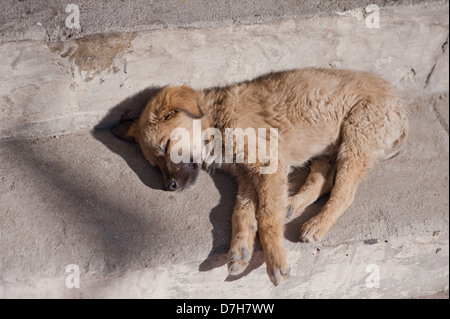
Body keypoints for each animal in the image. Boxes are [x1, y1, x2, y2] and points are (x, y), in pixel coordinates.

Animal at [112, 68, 408, 288]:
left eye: (166, 146)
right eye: (154, 164)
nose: (170, 188)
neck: (216, 122)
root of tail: (401, 106)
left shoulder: (268, 165)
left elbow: (265, 217)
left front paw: (275, 262)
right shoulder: (246, 176)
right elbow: (241, 213)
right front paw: (240, 249)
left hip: (355, 137)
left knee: (344, 192)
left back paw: (317, 224)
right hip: (327, 148)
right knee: (323, 182)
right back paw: (292, 204)